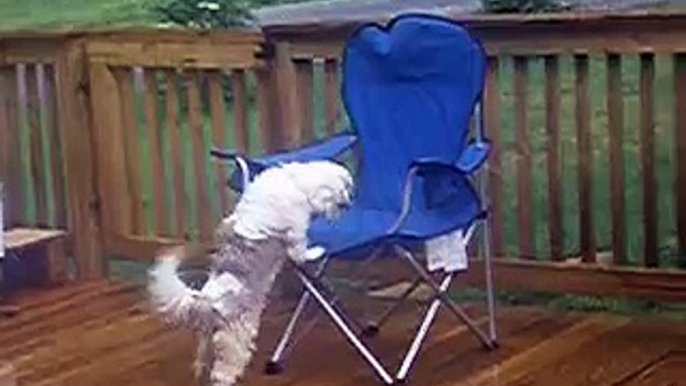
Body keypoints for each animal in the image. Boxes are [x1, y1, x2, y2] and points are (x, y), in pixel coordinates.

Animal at [147, 161, 352, 386]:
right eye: (344, 189)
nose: (349, 203)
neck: (295, 181)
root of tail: (207, 300)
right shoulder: (296, 232)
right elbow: (301, 251)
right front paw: (316, 251)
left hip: (207, 341)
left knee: (201, 364)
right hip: (235, 343)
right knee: (222, 374)